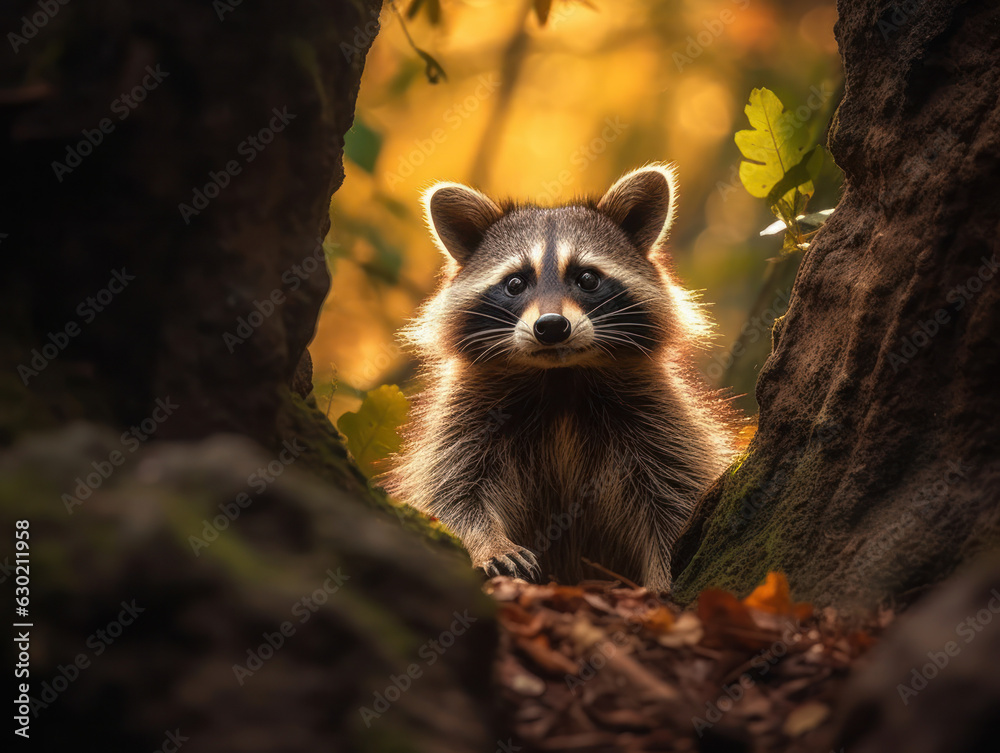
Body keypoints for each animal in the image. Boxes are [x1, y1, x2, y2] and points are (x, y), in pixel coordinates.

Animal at [387, 164, 738, 591]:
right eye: (516, 283)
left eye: (587, 279)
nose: (552, 327)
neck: (559, 379)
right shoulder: (469, 415)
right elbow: (451, 491)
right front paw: (488, 542)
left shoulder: (658, 416)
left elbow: (679, 496)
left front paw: (661, 582)